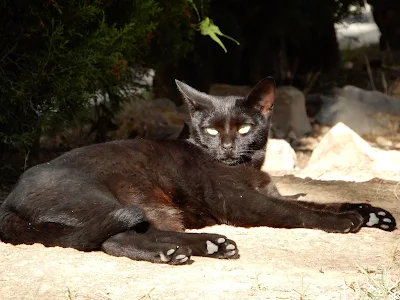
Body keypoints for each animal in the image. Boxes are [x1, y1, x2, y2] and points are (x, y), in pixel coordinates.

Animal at [0, 78, 396, 264]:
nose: (226, 146)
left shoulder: (266, 192)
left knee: (138, 234)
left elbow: (313, 201)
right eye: (211, 130)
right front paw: (345, 221)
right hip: (104, 202)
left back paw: (200, 247)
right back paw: (195, 248)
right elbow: (295, 210)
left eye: (243, 128)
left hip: (152, 213)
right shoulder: (242, 203)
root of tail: (9, 200)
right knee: (111, 239)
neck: (250, 168)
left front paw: (372, 213)